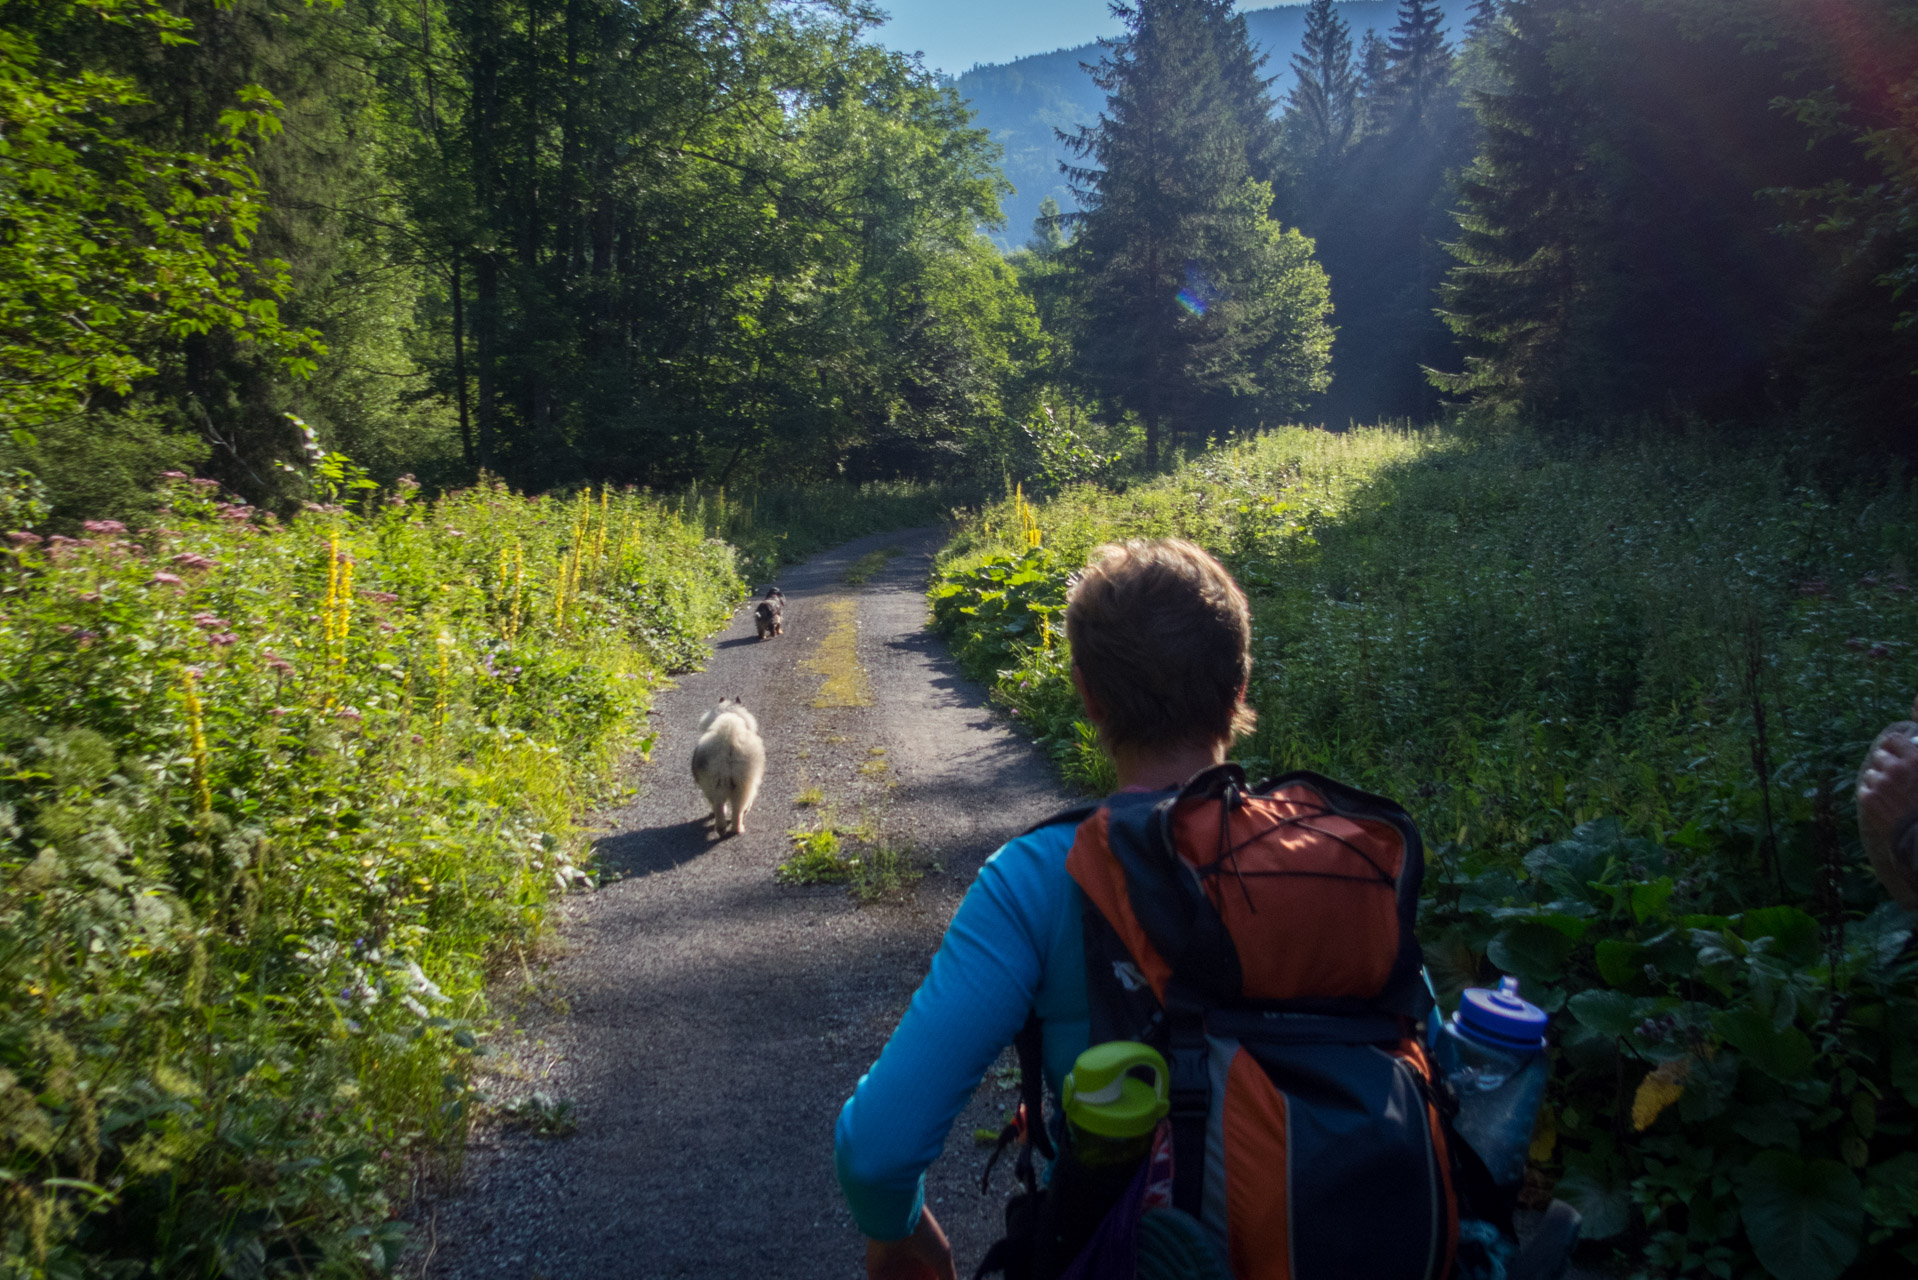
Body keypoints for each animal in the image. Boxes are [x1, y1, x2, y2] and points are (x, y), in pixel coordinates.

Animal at [690, 702, 763, 840]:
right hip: (743, 783)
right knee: (737, 808)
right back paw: (736, 829)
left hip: (715, 781)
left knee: (719, 804)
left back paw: (721, 828)